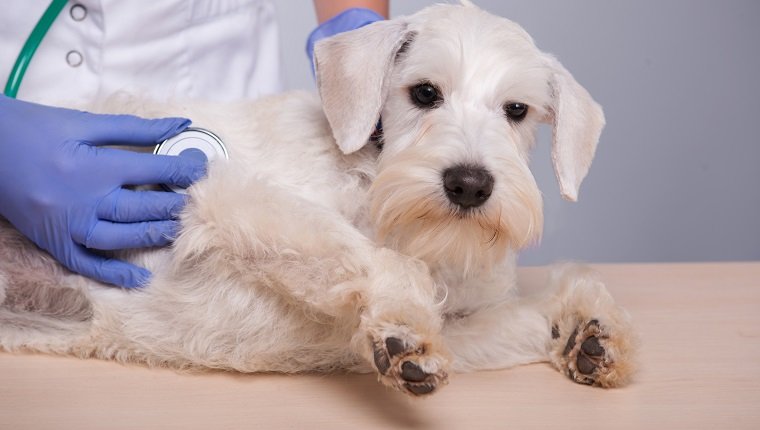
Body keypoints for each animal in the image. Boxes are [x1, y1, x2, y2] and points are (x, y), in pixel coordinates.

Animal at [0, 1, 636, 396]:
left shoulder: (462, 323)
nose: (469, 184)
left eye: (517, 110)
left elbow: (519, 320)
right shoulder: (231, 197)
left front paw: (586, 332)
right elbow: (378, 262)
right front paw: (406, 328)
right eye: (424, 92)